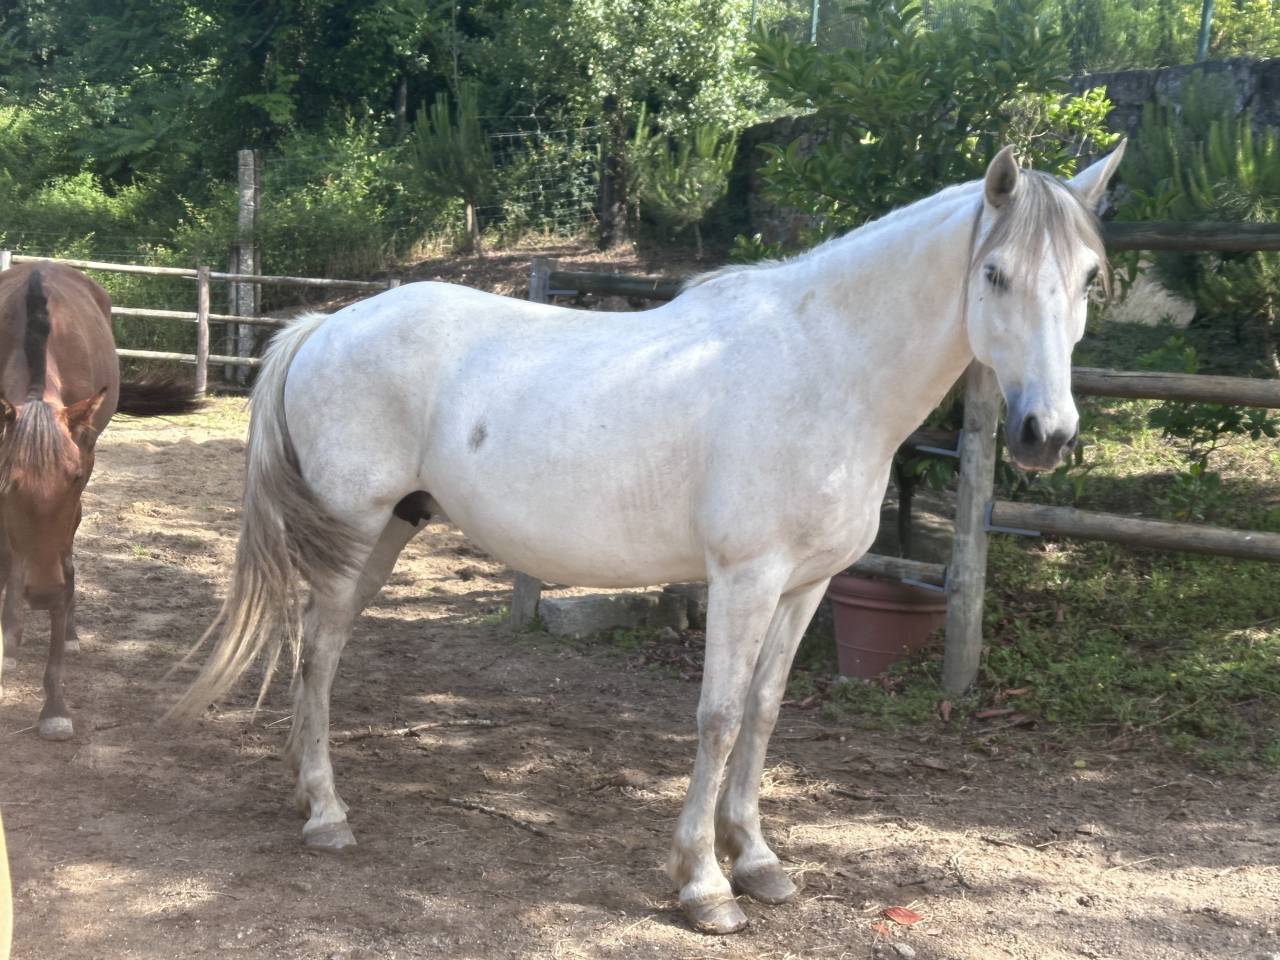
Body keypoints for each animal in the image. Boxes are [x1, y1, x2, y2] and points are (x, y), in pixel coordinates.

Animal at [0, 262, 201, 741]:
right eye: (10, 484)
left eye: (73, 480)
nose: (44, 592)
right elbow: (9, 552)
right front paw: (8, 636)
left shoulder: (84, 462)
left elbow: (66, 552)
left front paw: (55, 705)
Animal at [173, 144, 1125, 934]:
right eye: (994, 273)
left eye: (1088, 278)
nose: (1045, 434)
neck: (827, 367)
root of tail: (325, 327)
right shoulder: (745, 578)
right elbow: (719, 717)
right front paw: (704, 886)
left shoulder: (806, 585)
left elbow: (766, 712)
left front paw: (759, 862)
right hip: (353, 530)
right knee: (319, 652)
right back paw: (328, 814)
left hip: (385, 535)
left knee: (317, 649)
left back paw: (307, 792)